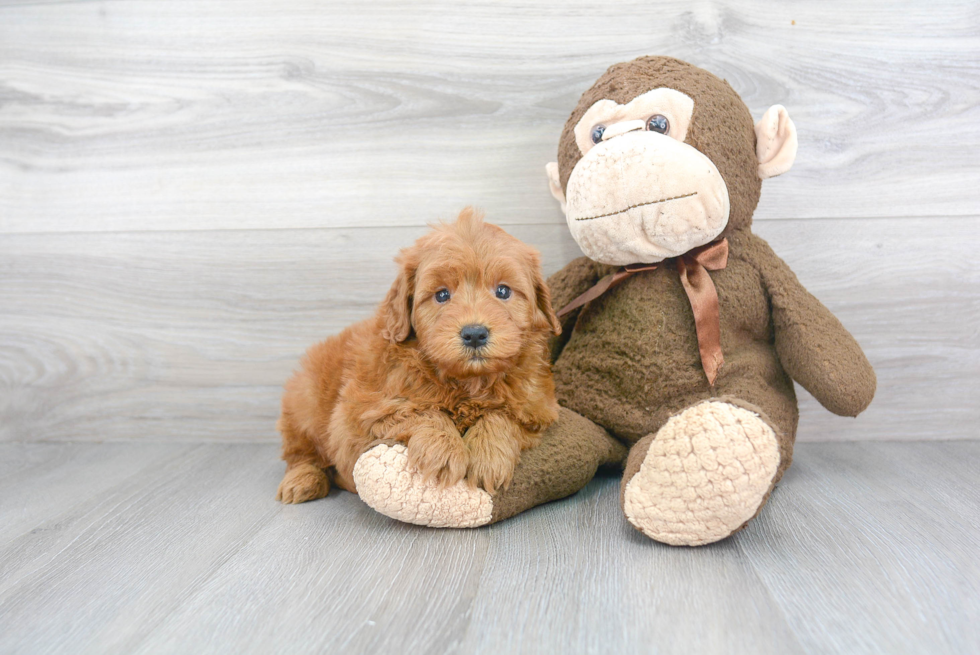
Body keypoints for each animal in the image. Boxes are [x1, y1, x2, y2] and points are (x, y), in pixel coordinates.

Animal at [278, 208, 568, 504]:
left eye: (503, 291)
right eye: (441, 295)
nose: (475, 334)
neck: (468, 383)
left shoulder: (537, 408)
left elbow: (504, 415)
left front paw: (488, 455)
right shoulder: (357, 416)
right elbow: (419, 410)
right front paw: (442, 451)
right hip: (304, 405)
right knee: (301, 454)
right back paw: (302, 481)